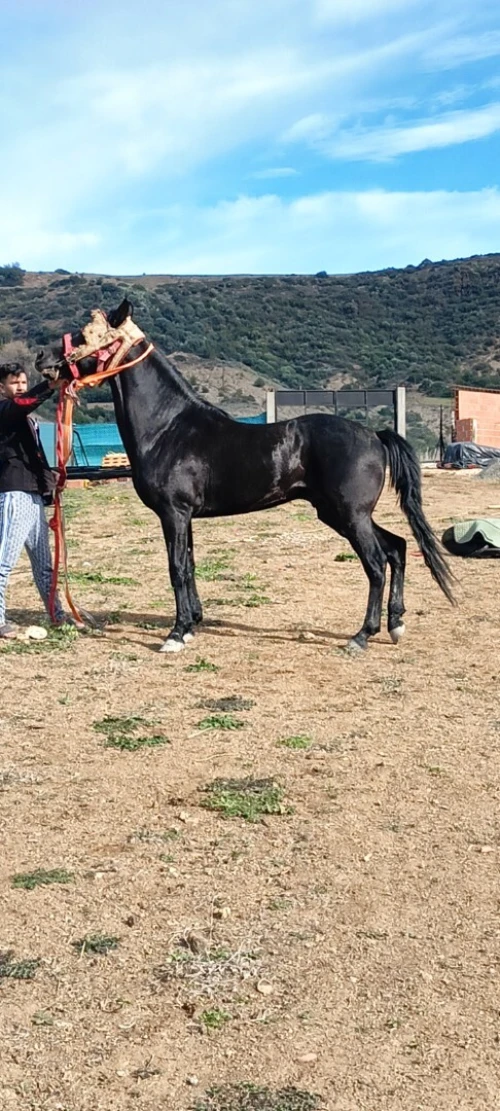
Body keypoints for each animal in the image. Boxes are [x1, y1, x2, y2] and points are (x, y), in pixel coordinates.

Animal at [35, 297, 454, 654]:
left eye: (85, 334)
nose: (41, 357)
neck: (168, 428)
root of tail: (374, 435)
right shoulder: (186, 517)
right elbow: (189, 565)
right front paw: (192, 624)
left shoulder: (174, 513)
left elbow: (176, 568)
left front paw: (175, 634)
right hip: (342, 514)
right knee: (398, 548)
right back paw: (395, 624)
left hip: (351, 516)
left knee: (377, 563)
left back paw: (362, 636)